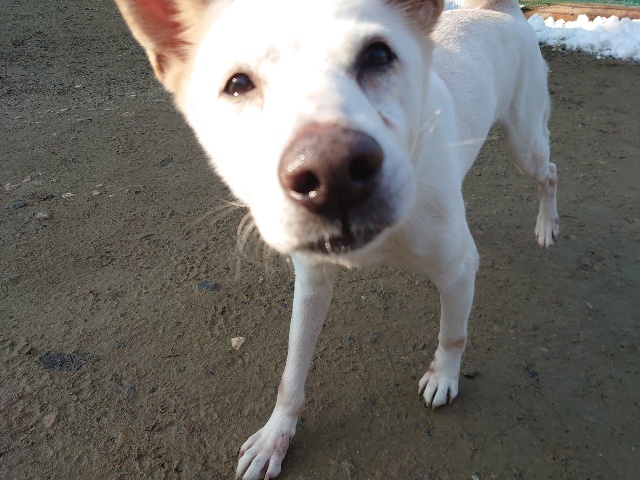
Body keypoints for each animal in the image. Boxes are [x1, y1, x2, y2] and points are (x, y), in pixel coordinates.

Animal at [114, 0, 559, 478]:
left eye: (378, 55)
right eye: (237, 84)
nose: (333, 174)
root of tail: (502, 13)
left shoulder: (456, 271)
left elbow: (453, 334)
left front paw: (444, 377)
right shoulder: (311, 283)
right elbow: (291, 372)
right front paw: (276, 436)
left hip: (525, 144)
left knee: (549, 173)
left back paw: (546, 225)